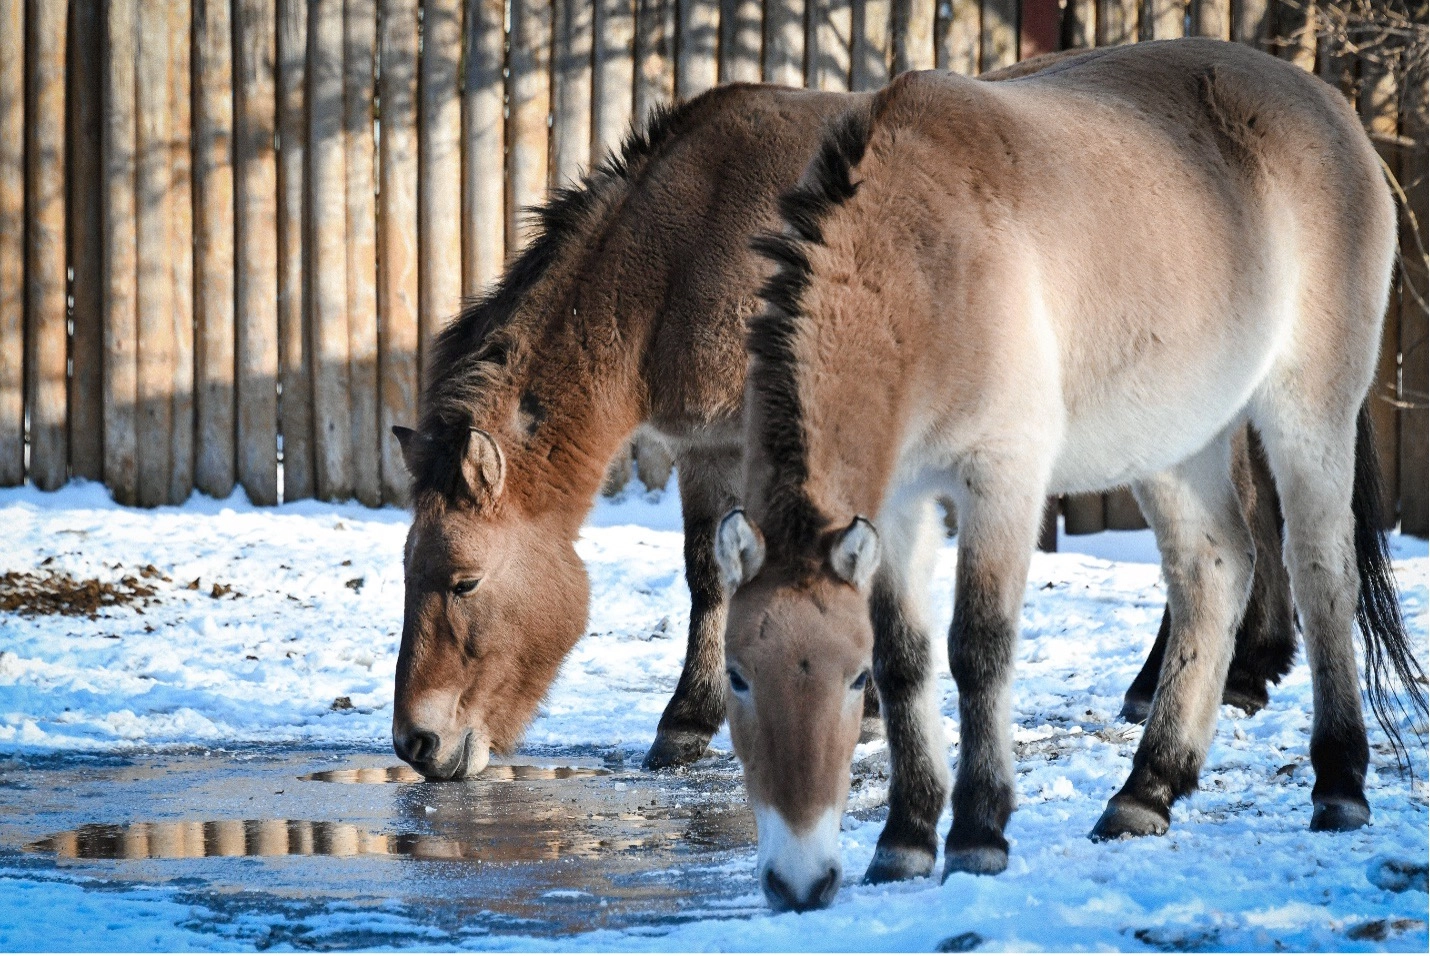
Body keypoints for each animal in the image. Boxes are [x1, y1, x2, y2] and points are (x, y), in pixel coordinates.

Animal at [388, 56, 1298, 783]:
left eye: (465, 580)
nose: (415, 746)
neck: (687, 245)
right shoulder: (709, 448)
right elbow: (707, 572)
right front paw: (692, 721)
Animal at [720, 41, 1424, 914]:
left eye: (849, 683)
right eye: (737, 677)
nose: (799, 881)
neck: (924, 260)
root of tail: (1328, 104)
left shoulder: (1002, 479)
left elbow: (977, 647)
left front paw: (979, 834)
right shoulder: (901, 503)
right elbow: (909, 656)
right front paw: (905, 840)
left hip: (1309, 409)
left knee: (1322, 572)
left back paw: (1339, 785)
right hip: (1175, 439)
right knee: (1216, 569)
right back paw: (1146, 791)